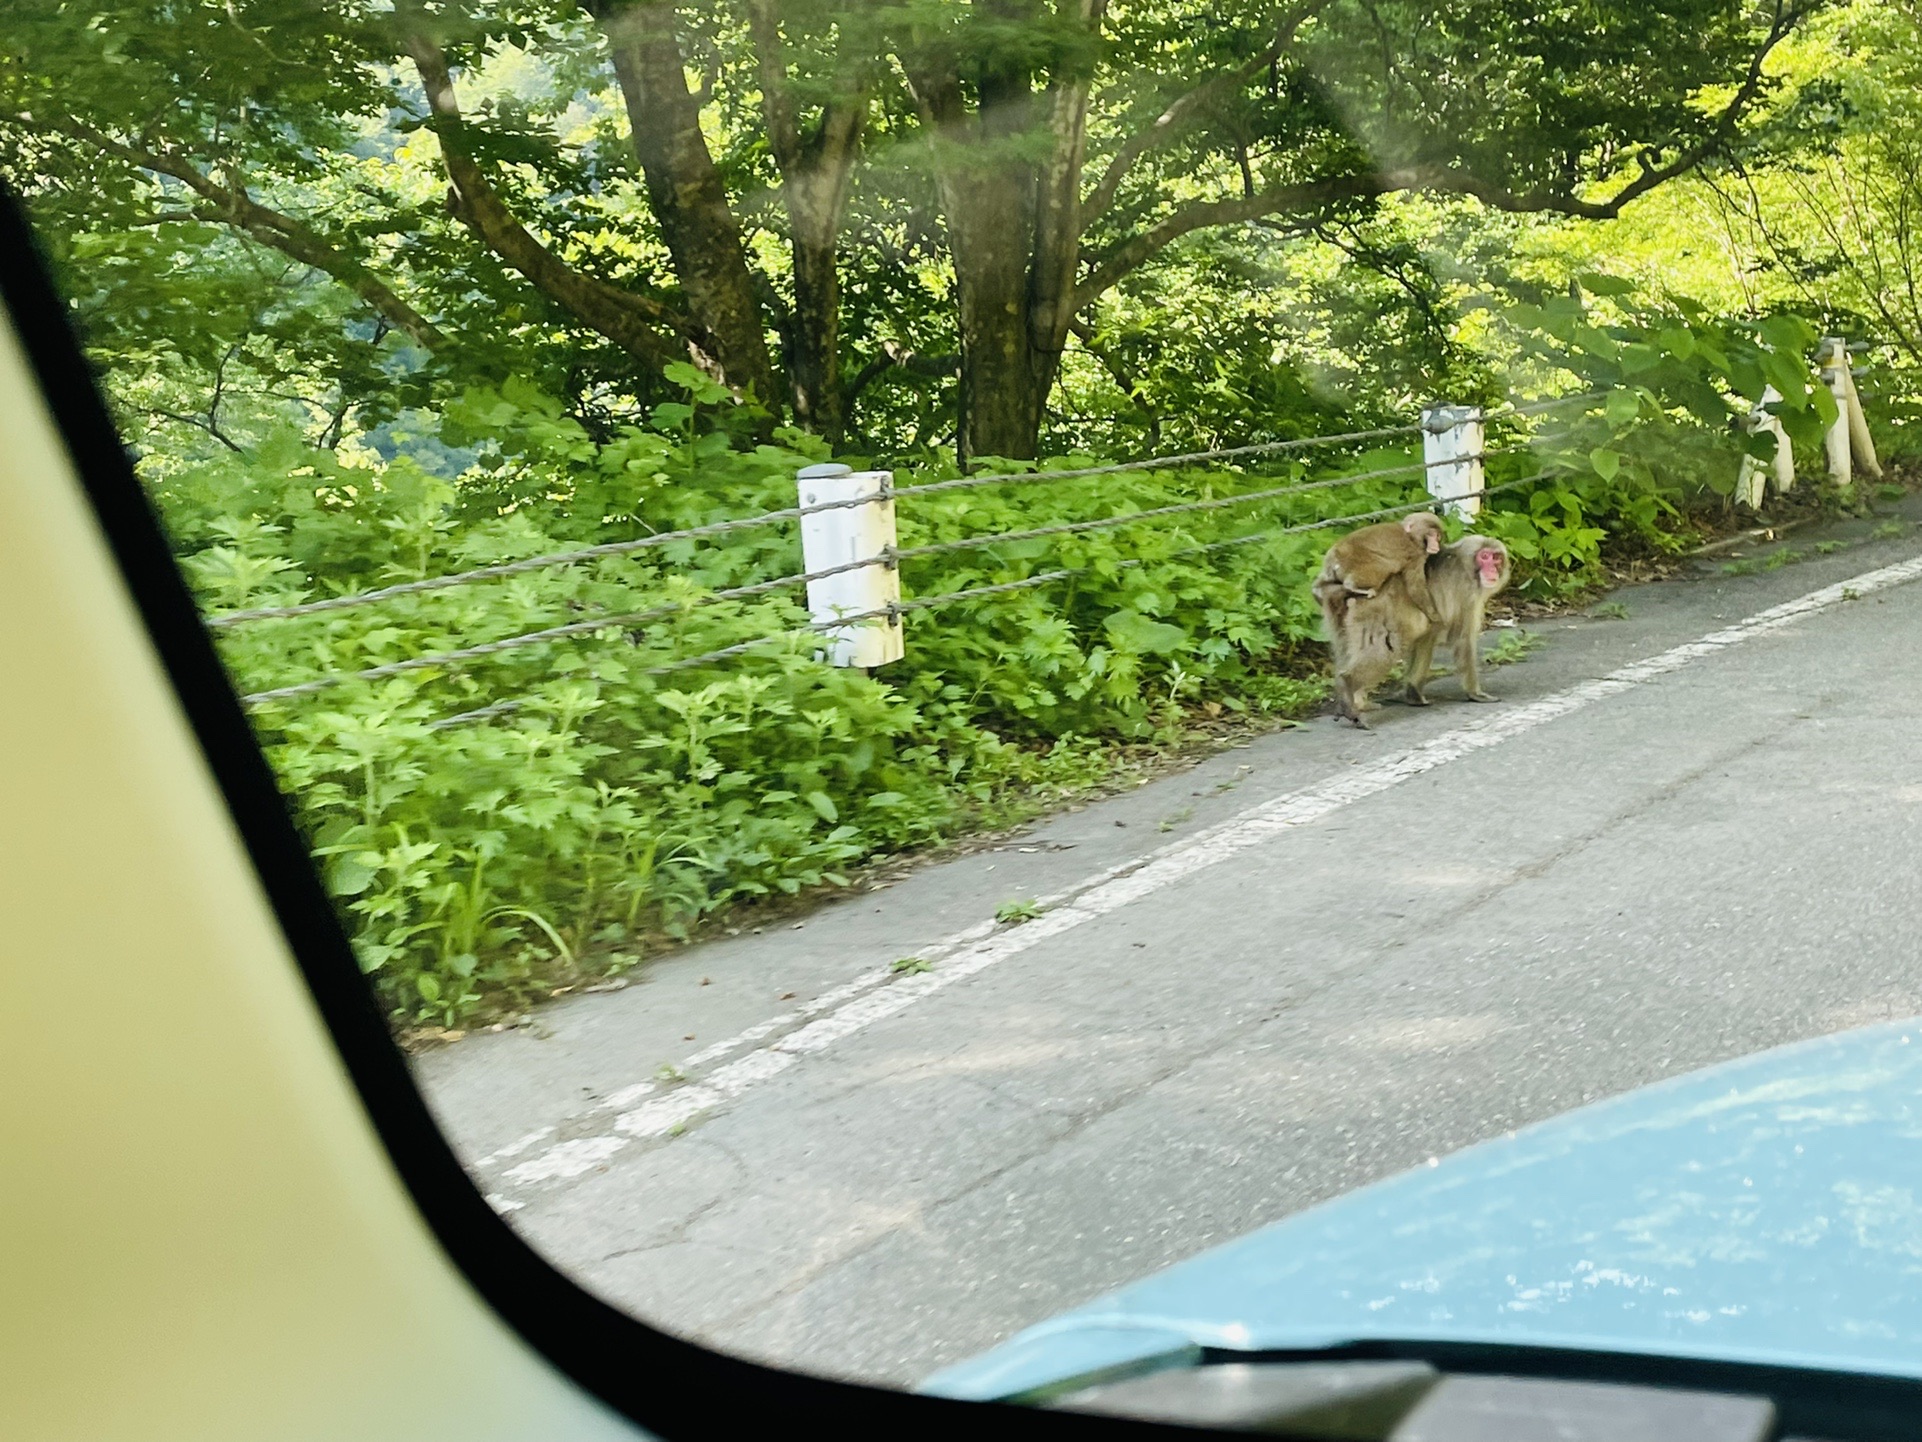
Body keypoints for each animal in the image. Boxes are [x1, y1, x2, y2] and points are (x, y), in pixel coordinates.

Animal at [1401, 535, 1512, 707]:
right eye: (1484, 556)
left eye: (1496, 558)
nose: (1492, 569)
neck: (1464, 565)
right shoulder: (1465, 589)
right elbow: (1458, 636)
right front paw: (1474, 693)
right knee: (1429, 631)